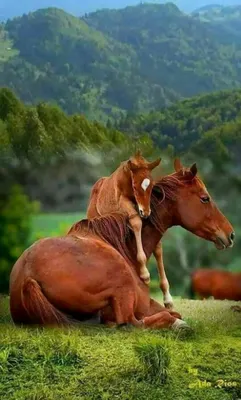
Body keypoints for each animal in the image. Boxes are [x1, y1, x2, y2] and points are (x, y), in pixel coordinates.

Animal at [86, 150, 160, 284]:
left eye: (151, 186)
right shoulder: (123, 202)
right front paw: (145, 274)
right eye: (135, 186)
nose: (145, 212)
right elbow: (136, 222)